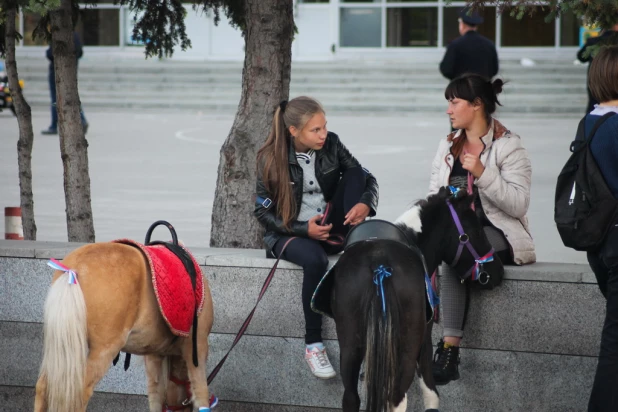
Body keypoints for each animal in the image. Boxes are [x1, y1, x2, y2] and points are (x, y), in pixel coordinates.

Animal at [33, 222, 213, 412]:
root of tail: (72, 270)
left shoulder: (154, 355)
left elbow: (155, 396)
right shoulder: (197, 348)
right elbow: (201, 394)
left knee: (43, 386)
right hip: (104, 349)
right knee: (79, 393)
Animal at [318, 187, 500, 412]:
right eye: (478, 231)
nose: (497, 271)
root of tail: (380, 263)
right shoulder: (425, 338)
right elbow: (431, 395)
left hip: (350, 345)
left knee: (351, 397)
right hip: (407, 346)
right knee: (397, 399)